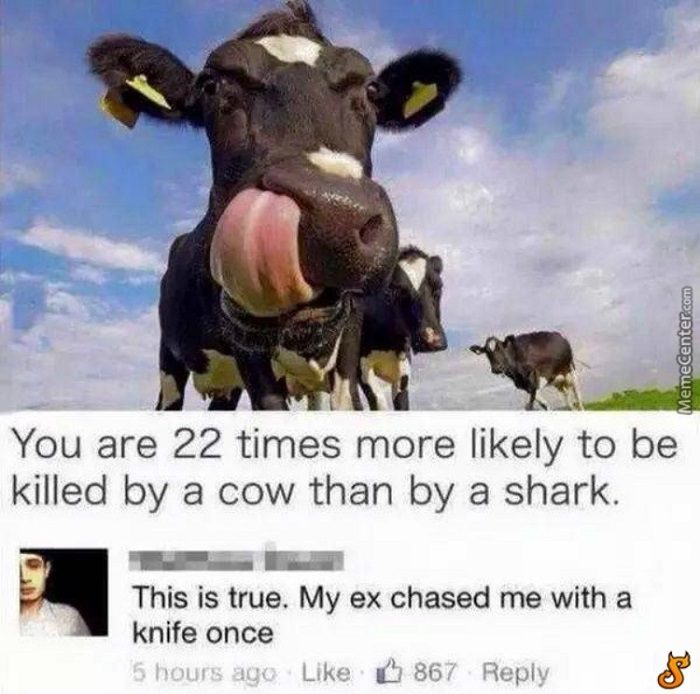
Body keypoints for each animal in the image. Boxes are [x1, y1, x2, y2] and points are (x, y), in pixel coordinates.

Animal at [88, 0, 461, 410]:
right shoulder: (248, 350)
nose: (335, 216)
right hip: (170, 360)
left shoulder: (351, 350)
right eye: (211, 86)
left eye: (371, 91)